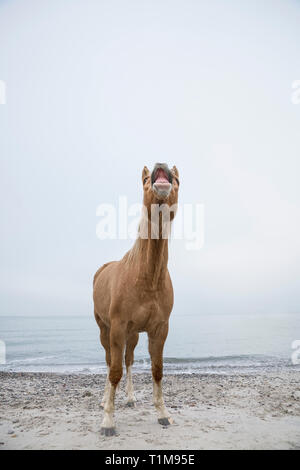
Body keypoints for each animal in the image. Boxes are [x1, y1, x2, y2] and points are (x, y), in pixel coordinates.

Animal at [92, 163, 179, 436]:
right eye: (144, 179)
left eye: (178, 180)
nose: (161, 165)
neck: (146, 278)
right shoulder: (117, 328)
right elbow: (114, 371)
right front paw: (108, 421)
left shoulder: (159, 329)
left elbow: (157, 370)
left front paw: (163, 414)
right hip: (105, 330)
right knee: (111, 361)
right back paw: (104, 399)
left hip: (133, 334)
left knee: (128, 361)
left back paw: (129, 398)